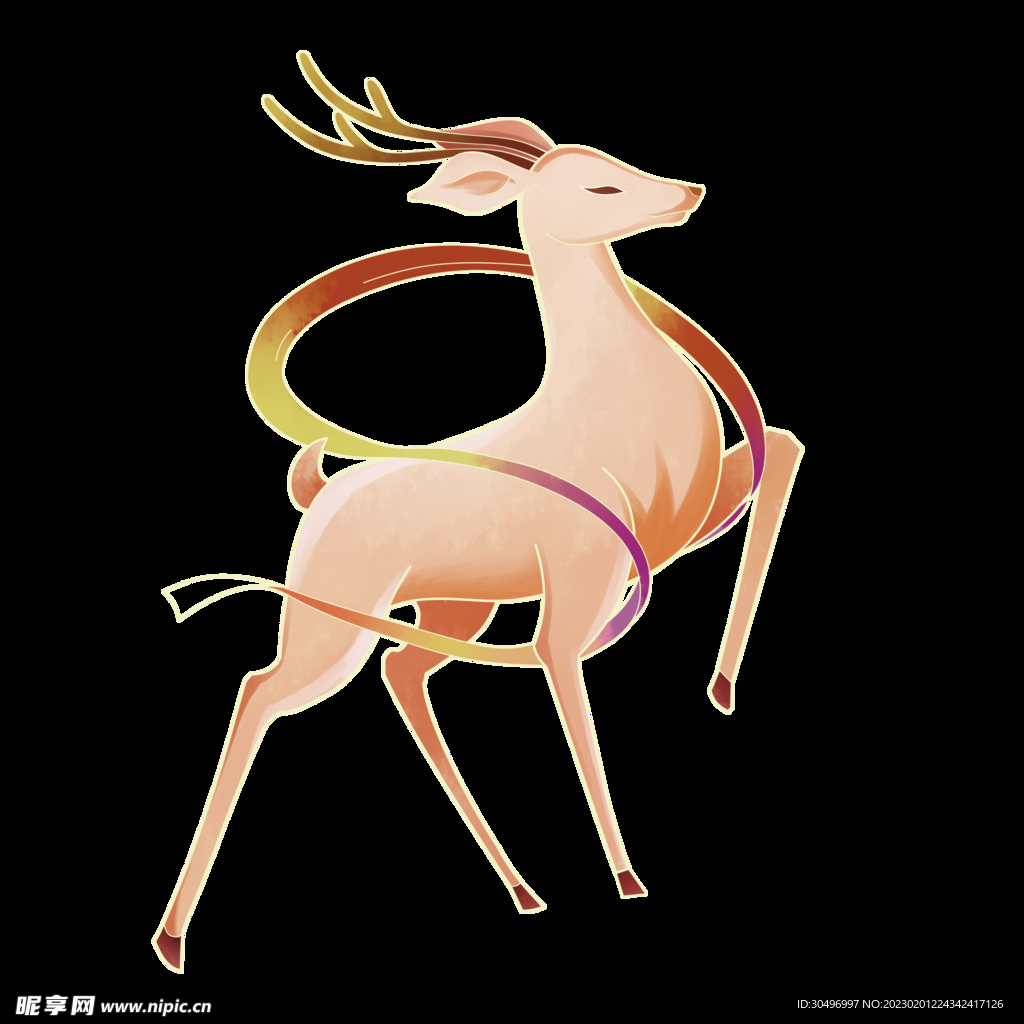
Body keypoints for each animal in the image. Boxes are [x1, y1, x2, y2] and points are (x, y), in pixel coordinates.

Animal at [152, 51, 804, 973]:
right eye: (597, 185)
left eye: (613, 158)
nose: (690, 189)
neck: (616, 403)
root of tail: (319, 494)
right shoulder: (580, 584)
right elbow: (568, 691)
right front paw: (626, 876)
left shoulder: (691, 512)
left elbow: (782, 445)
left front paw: (720, 686)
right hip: (334, 616)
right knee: (260, 689)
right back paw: (171, 937)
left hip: (456, 606)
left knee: (403, 673)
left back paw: (524, 889)